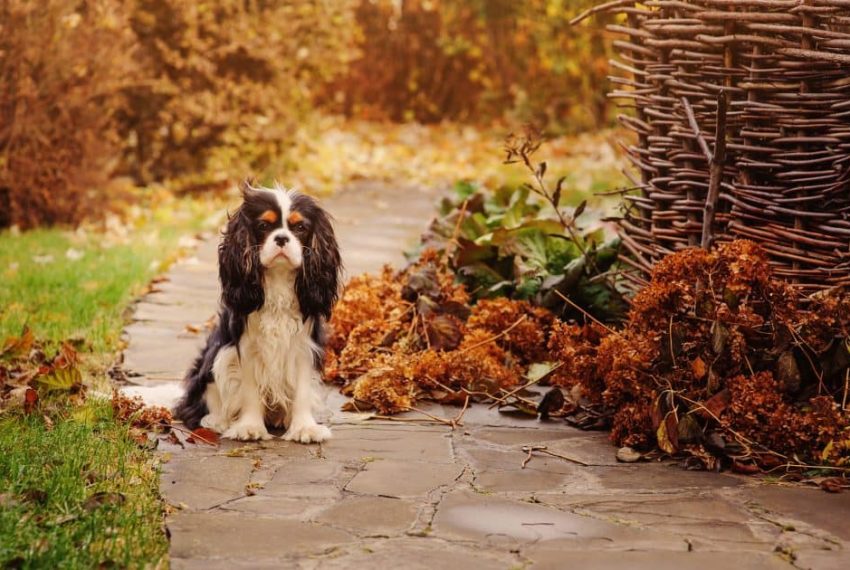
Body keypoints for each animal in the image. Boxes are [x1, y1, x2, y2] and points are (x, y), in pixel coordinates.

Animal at [174, 180, 340, 442]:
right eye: (263, 226)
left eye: (300, 227)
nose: (281, 238)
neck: (278, 281)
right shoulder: (246, 348)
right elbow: (249, 390)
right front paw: (249, 427)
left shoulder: (303, 347)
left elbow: (302, 389)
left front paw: (304, 427)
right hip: (216, 356)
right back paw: (217, 421)